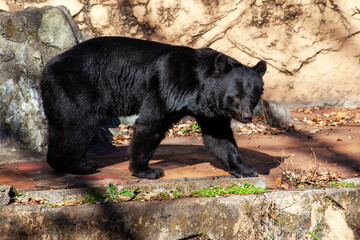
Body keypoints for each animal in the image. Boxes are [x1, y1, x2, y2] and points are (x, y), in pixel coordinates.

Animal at [40, 36, 266, 179]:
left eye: (254, 97)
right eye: (235, 96)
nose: (247, 116)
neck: (197, 84)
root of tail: (48, 66)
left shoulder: (211, 107)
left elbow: (219, 136)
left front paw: (245, 168)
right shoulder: (166, 85)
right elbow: (151, 123)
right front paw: (146, 170)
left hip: (57, 94)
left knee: (58, 126)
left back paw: (57, 162)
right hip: (80, 85)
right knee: (81, 123)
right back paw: (81, 165)